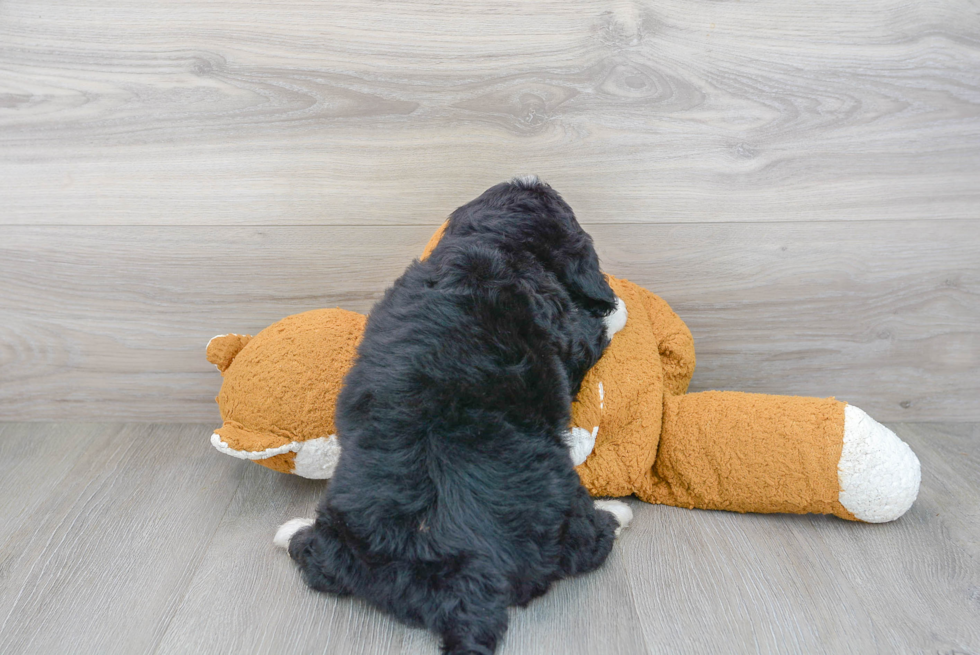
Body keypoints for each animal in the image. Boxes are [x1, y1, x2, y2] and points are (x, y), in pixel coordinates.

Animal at [274, 177, 636, 652]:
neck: (492, 241)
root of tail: (464, 585)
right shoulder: (570, 332)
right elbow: (598, 327)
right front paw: (620, 306)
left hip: (343, 533)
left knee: (317, 558)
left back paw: (292, 531)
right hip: (564, 508)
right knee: (589, 543)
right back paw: (618, 513)